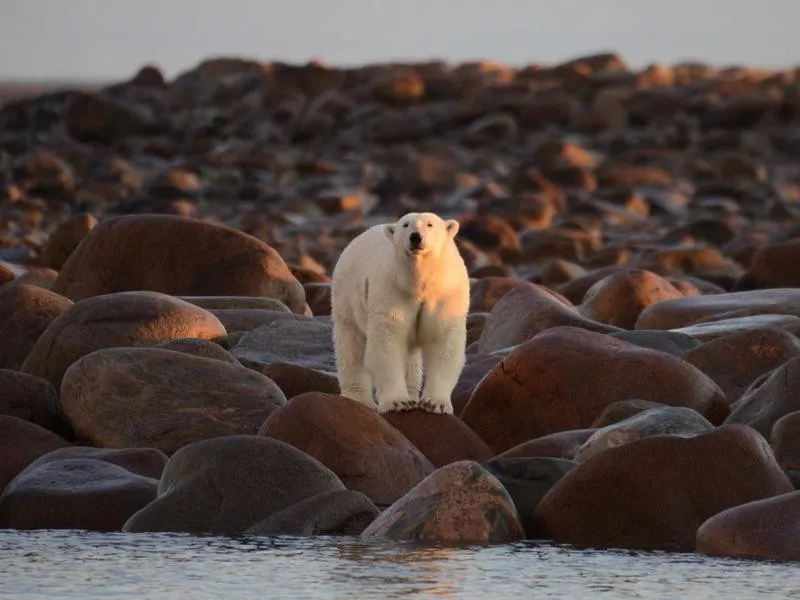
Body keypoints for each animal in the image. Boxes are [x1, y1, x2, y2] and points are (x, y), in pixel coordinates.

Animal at [330, 211, 468, 412]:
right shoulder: (392, 290)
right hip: (346, 298)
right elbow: (388, 340)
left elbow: (443, 340)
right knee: (351, 345)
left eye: (430, 224)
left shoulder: (446, 293)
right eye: (405, 225)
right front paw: (398, 402)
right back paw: (359, 399)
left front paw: (435, 403)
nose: (415, 237)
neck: (418, 283)